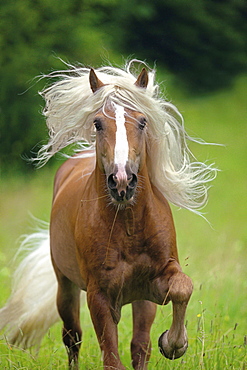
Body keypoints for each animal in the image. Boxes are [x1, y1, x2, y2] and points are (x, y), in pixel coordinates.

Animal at [0, 60, 215, 368]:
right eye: (98, 123)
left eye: (143, 121)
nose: (122, 181)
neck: (128, 226)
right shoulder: (99, 295)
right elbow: (111, 357)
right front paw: (173, 343)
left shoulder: (153, 284)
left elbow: (181, 289)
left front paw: (174, 344)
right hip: (65, 286)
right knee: (72, 337)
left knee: (138, 345)